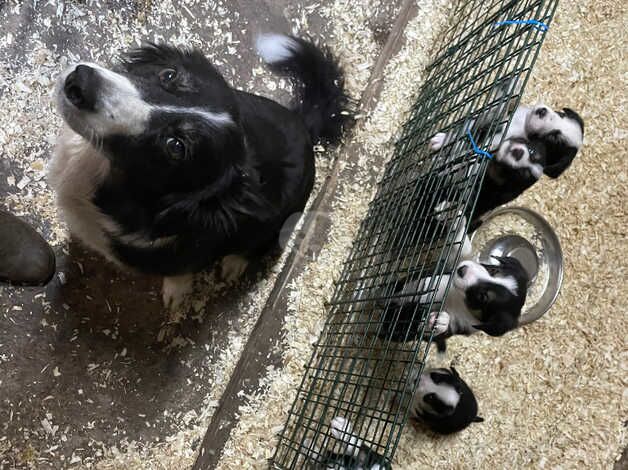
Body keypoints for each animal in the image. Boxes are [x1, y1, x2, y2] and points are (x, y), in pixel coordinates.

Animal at [48, 32, 350, 320]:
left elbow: (180, 272)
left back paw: (234, 263)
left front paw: (177, 293)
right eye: (168, 74)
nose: (80, 82)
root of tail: (305, 128)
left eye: (176, 146)